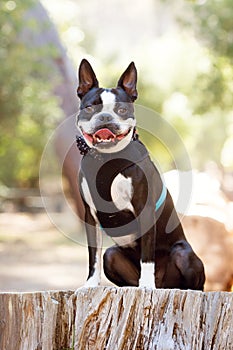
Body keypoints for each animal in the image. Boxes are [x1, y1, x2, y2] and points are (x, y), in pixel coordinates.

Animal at [75, 59, 205, 290]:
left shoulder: (144, 211)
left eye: (121, 109)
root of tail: (164, 286)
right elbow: (94, 256)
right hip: (112, 255)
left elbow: (147, 256)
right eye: (90, 107)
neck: (107, 158)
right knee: (108, 256)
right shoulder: (89, 216)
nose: (105, 116)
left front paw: (146, 284)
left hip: (183, 253)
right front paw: (91, 284)